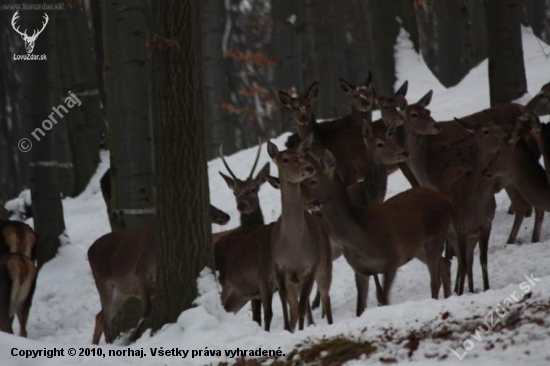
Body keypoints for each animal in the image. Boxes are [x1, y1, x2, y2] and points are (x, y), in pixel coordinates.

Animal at [89, 207, 230, 344]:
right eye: (210, 206)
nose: (226, 216)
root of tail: (88, 252)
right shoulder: (140, 270)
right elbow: (147, 309)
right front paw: (132, 336)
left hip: (121, 293)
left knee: (100, 316)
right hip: (103, 283)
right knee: (105, 319)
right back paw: (109, 343)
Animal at [266, 136, 334, 334]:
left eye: (301, 155)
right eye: (285, 159)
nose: (309, 167)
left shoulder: (310, 267)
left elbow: (303, 306)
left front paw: (302, 329)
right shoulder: (279, 269)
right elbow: (286, 304)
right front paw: (287, 329)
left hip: (325, 266)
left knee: (325, 298)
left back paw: (328, 323)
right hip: (294, 281)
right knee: (296, 306)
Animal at [302, 150, 452, 316]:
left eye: (313, 181)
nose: (300, 194)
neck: (361, 235)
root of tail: (446, 200)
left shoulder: (392, 260)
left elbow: (384, 299)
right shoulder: (360, 270)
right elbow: (359, 309)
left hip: (436, 235)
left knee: (435, 280)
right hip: (418, 248)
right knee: (445, 264)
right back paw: (449, 296)